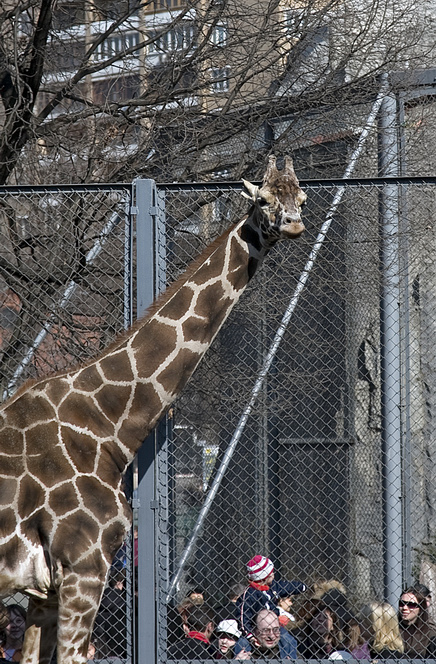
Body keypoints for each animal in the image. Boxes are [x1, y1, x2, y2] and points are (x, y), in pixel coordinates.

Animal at [0, 153, 306, 660]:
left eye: (301, 196)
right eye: (263, 199)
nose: (295, 224)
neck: (108, 426)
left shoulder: (45, 590)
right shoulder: (84, 569)